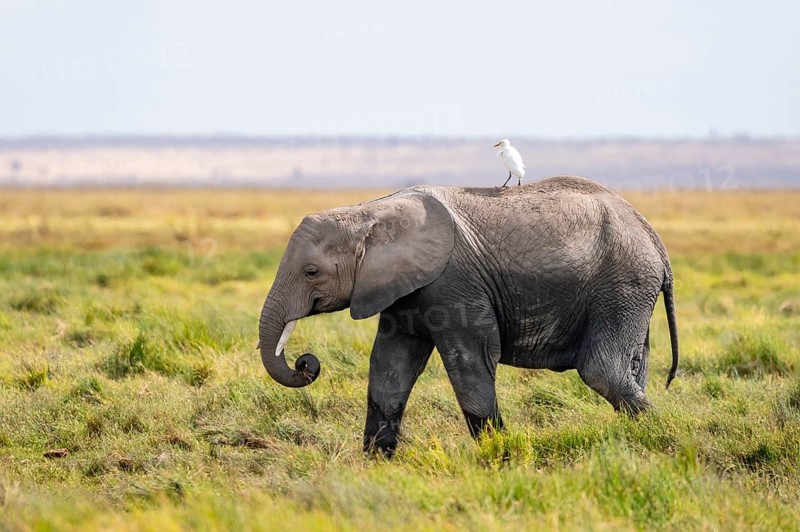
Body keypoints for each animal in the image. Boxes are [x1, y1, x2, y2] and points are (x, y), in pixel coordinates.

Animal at [257, 175, 679, 456]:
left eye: (311, 272)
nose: (306, 362)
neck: (368, 211)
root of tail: (654, 237)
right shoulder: (403, 289)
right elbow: (391, 367)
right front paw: (377, 462)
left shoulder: (453, 284)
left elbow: (469, 362)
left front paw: (498, 455)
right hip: (630, 291)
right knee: (631, 366)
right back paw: (637, 441)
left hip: (621, 284)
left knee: (600, 369)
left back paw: (659, 439)